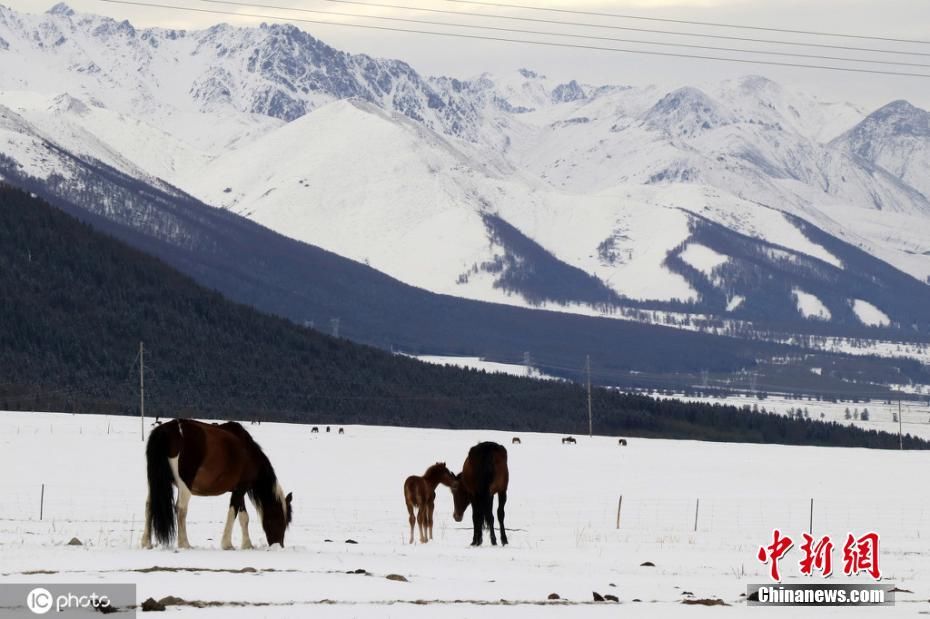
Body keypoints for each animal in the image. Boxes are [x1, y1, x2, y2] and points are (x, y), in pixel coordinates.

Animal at [141, 418, 292, 548]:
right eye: (279, 519)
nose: (278, 545)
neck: (248, 452)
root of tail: (166, 431)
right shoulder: (240, 489)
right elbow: (233, 513)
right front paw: (227, 544)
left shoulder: (239, 490)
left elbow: (244, 517)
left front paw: (247, 545)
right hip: (185, 485)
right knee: (181, 509)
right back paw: (184, 544)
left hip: (154, 482)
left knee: (149, 505)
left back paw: (146, 543)